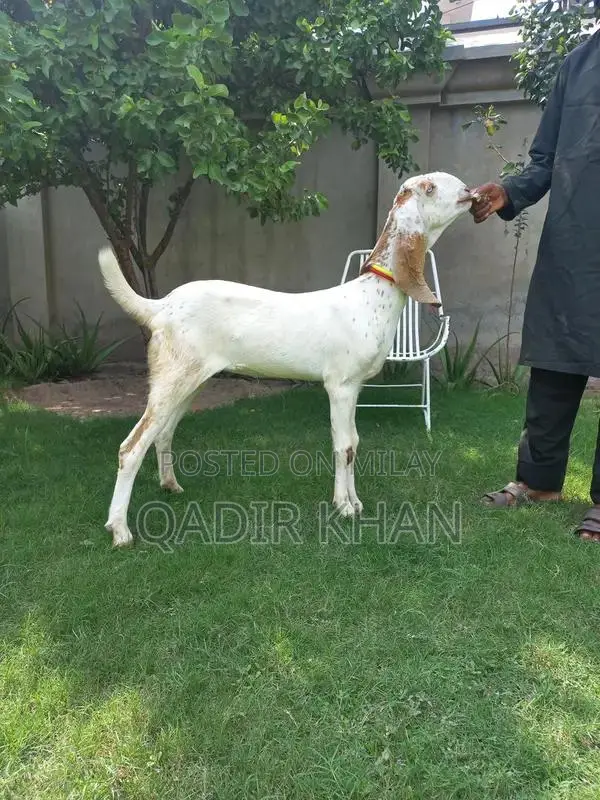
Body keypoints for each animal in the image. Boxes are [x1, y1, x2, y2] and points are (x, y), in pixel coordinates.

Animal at [98, 172, 474, 547]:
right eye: (429, 188)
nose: (468, 191)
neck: (371, 296)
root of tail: (161, 306)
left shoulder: (355, 387)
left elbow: (354, 442)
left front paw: (355, 502)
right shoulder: (339, 386)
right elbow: (343, 445)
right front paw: (343, 507)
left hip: (190, 381)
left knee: (162, 434)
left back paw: (171, 485)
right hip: (172, 378)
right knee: (131, 447)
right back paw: (120, 529)